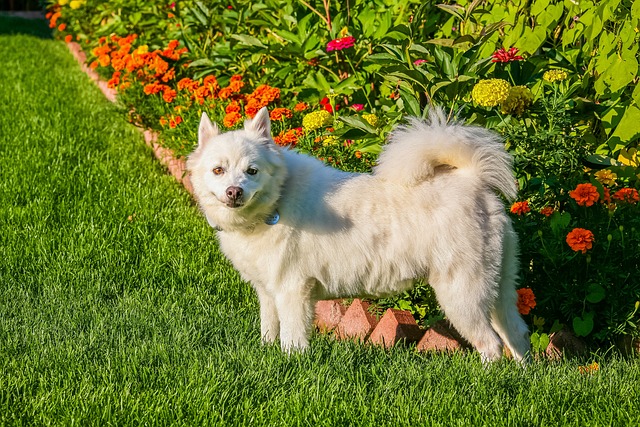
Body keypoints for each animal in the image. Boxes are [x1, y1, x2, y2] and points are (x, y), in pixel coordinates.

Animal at [186, 106, 528, 362]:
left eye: (252, 171)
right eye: (218, 170)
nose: (234, 191)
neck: (278, 199)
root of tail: (473, 180)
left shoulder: (292, 290)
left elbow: (292, 339)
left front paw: (291, 364)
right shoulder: (268, 292)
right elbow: (269, 331)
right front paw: (268, 355)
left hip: (462, 294)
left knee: (492, 345)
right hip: (499, 289)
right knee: (518, 336)